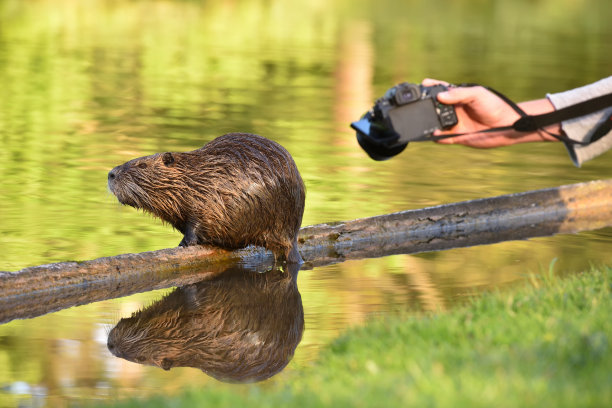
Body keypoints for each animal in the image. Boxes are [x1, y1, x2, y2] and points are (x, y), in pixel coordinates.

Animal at [107, 132, 306, 262]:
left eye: (142, 165)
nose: (111, 174)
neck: (195, 177)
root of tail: (292, 237)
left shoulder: (208, 200)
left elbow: (197, 222)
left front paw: (183, 243)